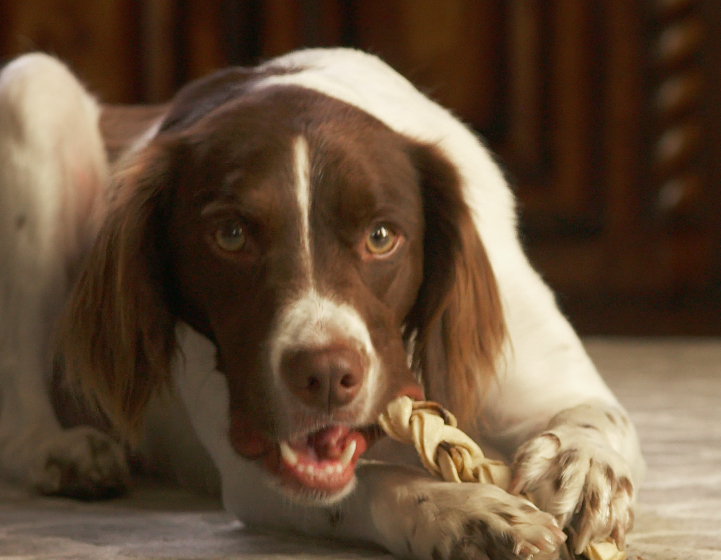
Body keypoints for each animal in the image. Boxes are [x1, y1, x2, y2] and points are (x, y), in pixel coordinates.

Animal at [0, 49, 640, 560]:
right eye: (230, 234)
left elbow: (596, 417)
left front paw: (580, 476)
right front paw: (467, 514)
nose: (327, 376)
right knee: (18, 413)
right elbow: (374, 482)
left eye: (381, 236)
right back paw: (64, 452)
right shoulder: (255, 470)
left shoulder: (547, 375)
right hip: (30, 90)